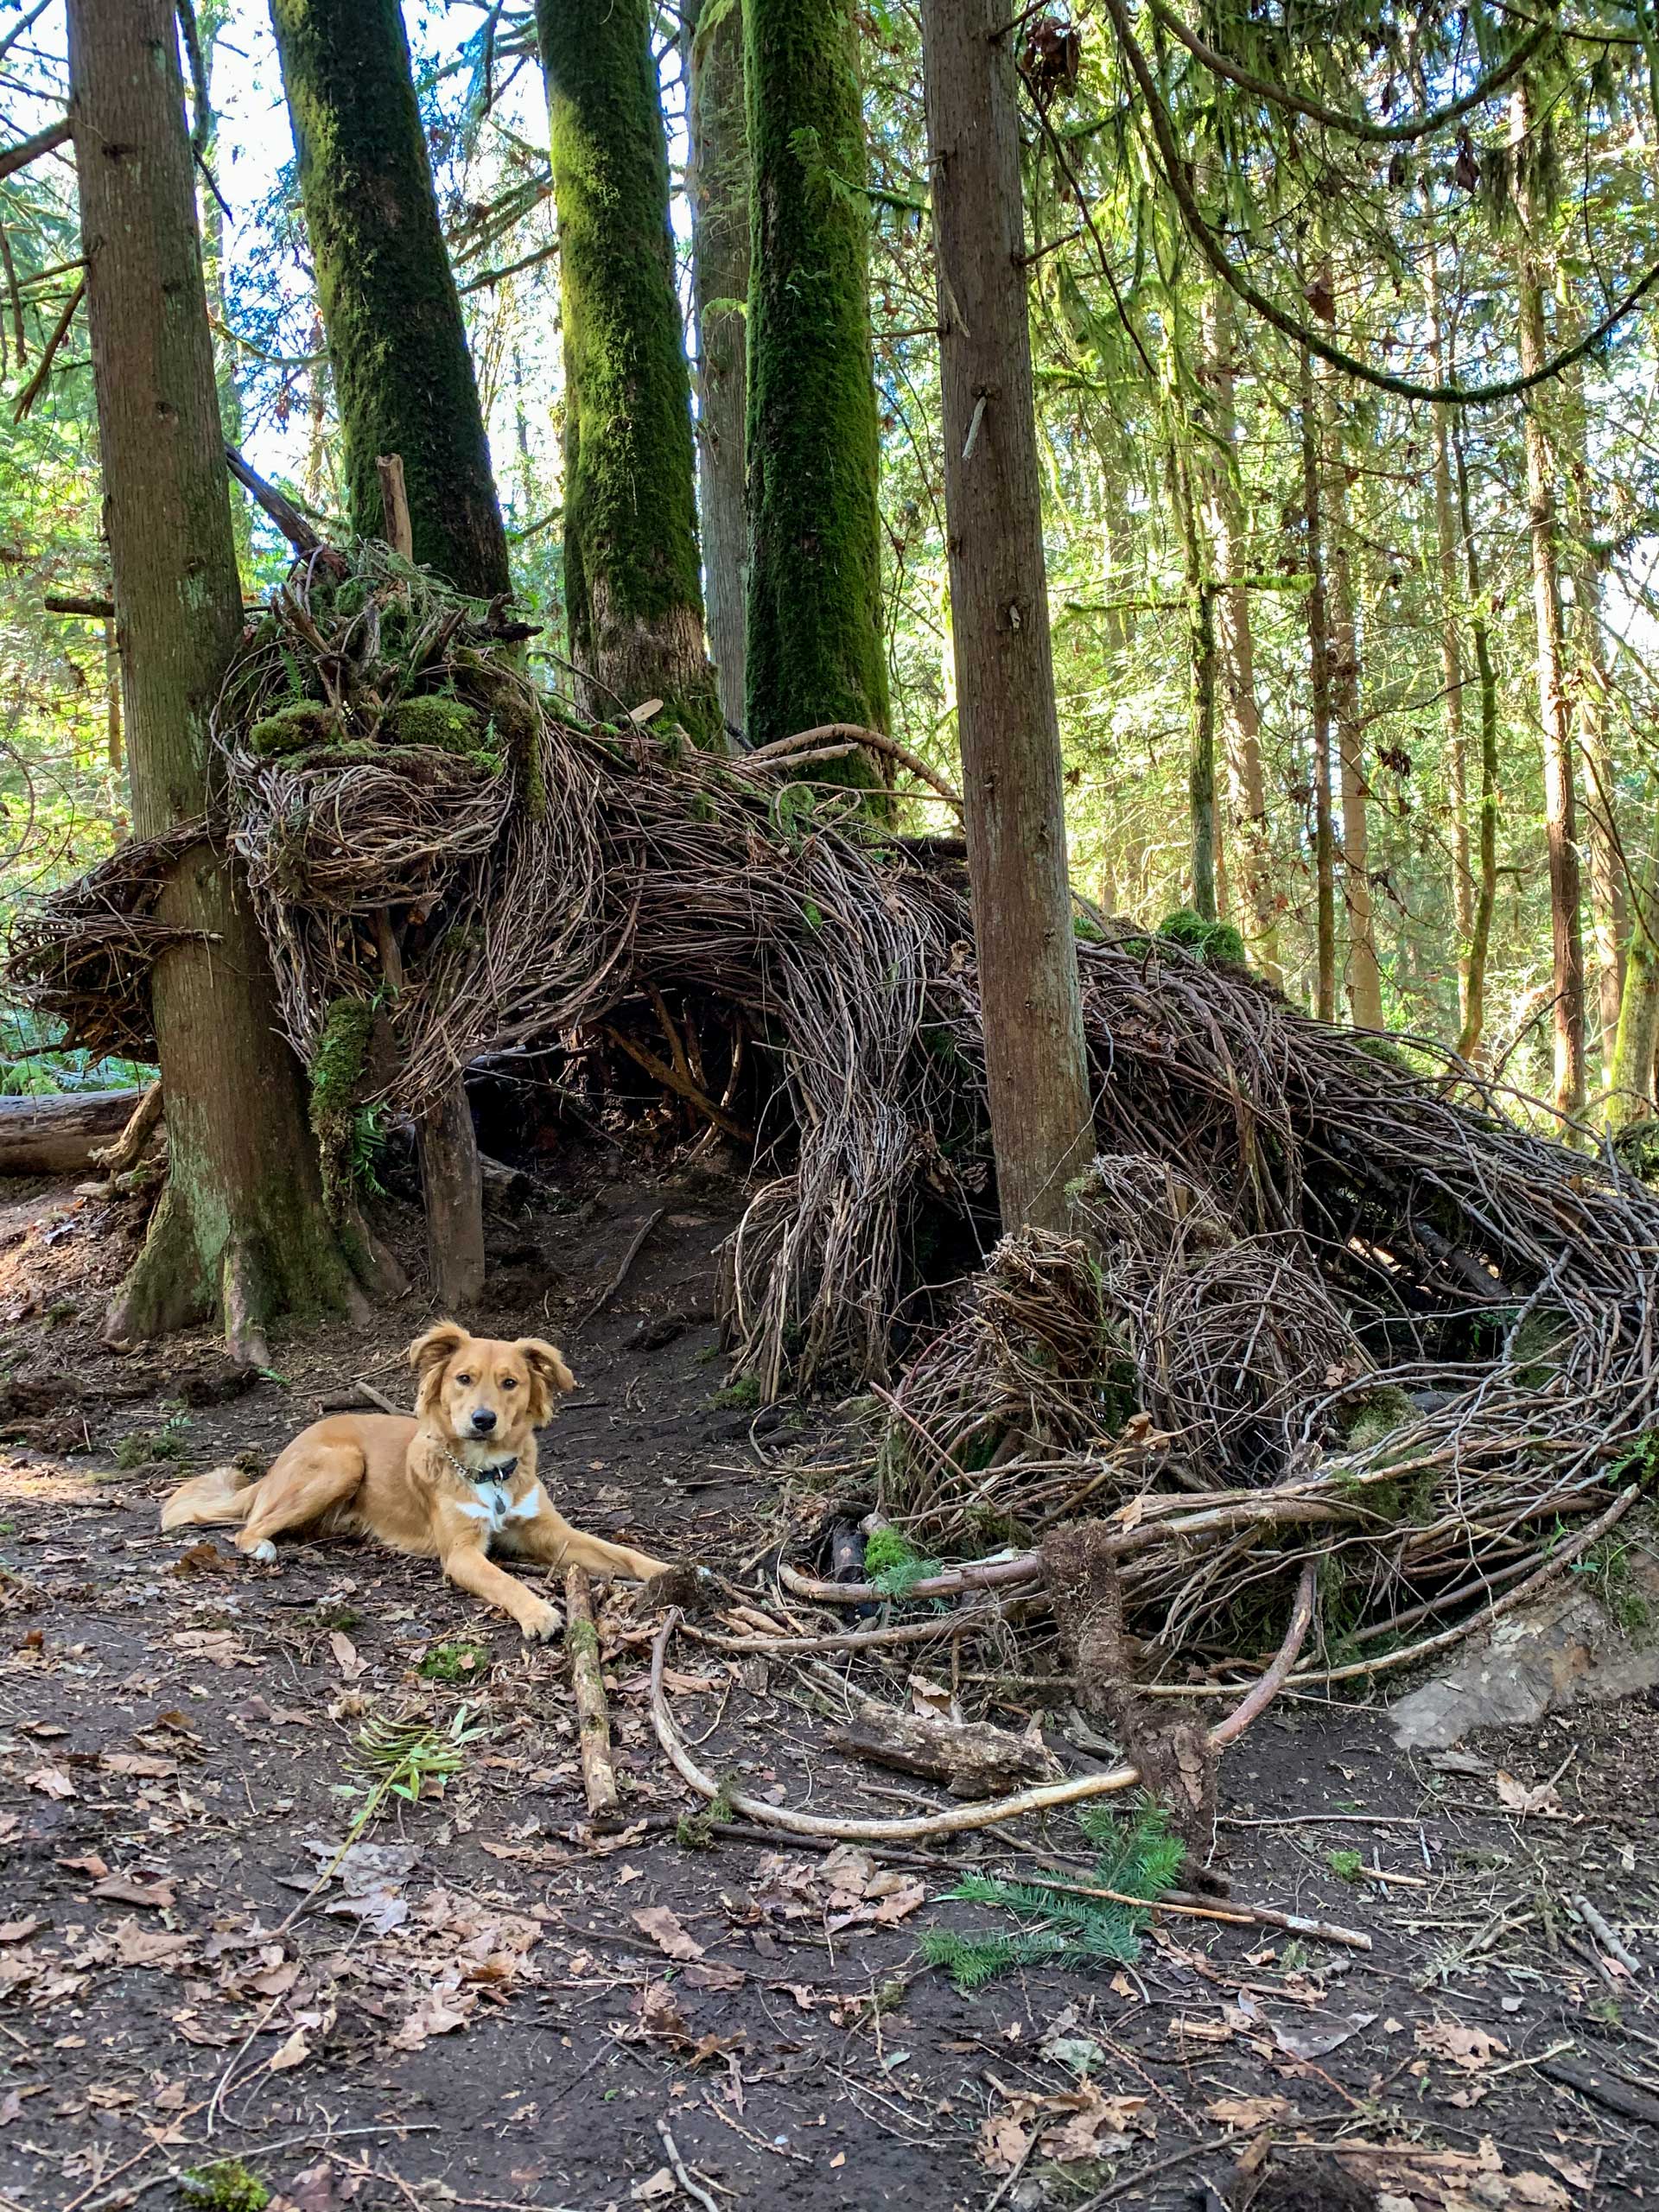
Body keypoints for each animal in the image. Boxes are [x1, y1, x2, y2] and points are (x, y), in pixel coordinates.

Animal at [160, 1309, 668, 1645]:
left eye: (510, 1383)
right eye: (464, 1378)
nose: (483, 1420)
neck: (488, 1473)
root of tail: (273, 1466)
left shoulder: (551, 1532)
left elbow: (620, 1552)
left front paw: (667, 1570)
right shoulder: (461, 1553)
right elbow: (505, 1581)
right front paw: (537, 1610)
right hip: (342, 1464)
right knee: (247, 1527)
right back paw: (263, 1547)